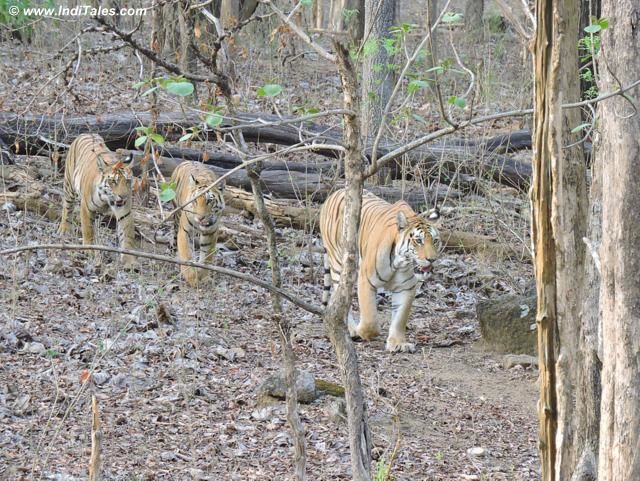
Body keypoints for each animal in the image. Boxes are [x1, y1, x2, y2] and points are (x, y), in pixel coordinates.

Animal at [57, 133, 138, 266]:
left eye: (127, 180)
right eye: (113, 181)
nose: (123, 196)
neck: (107, 198)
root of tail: (85, 134)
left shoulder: (125, 211)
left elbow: (127, 234)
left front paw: (129, 260)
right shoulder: (86, 207)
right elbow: (88, 229)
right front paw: (89, 250)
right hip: (69, 186)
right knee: (67, 208)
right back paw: (64, 230)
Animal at [318, 188, 440, 352]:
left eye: (435, 241)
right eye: (418, 241)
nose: (432, 259)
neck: (400, 263)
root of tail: (333, 194)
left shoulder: (406, 287)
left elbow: (400, 318)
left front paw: (397, 343)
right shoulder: (366, 280)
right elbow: (370, 321)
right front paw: (361, 332)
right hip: (339, 264)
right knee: (340, 300)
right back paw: (351, 330)